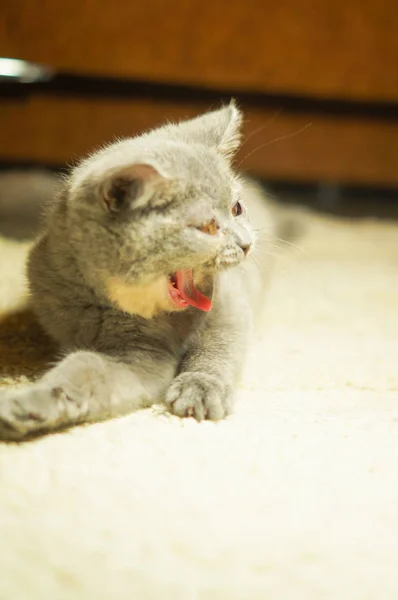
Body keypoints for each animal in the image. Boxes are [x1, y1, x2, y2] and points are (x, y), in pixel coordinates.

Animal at [0, 102, 274, 440]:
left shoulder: (228, 305)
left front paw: (200, 389)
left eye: (237, 208)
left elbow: (219, 345)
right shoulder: (139, 356)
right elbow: (86, 366)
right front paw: (33, 403)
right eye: (206, 228)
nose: (246, 244)